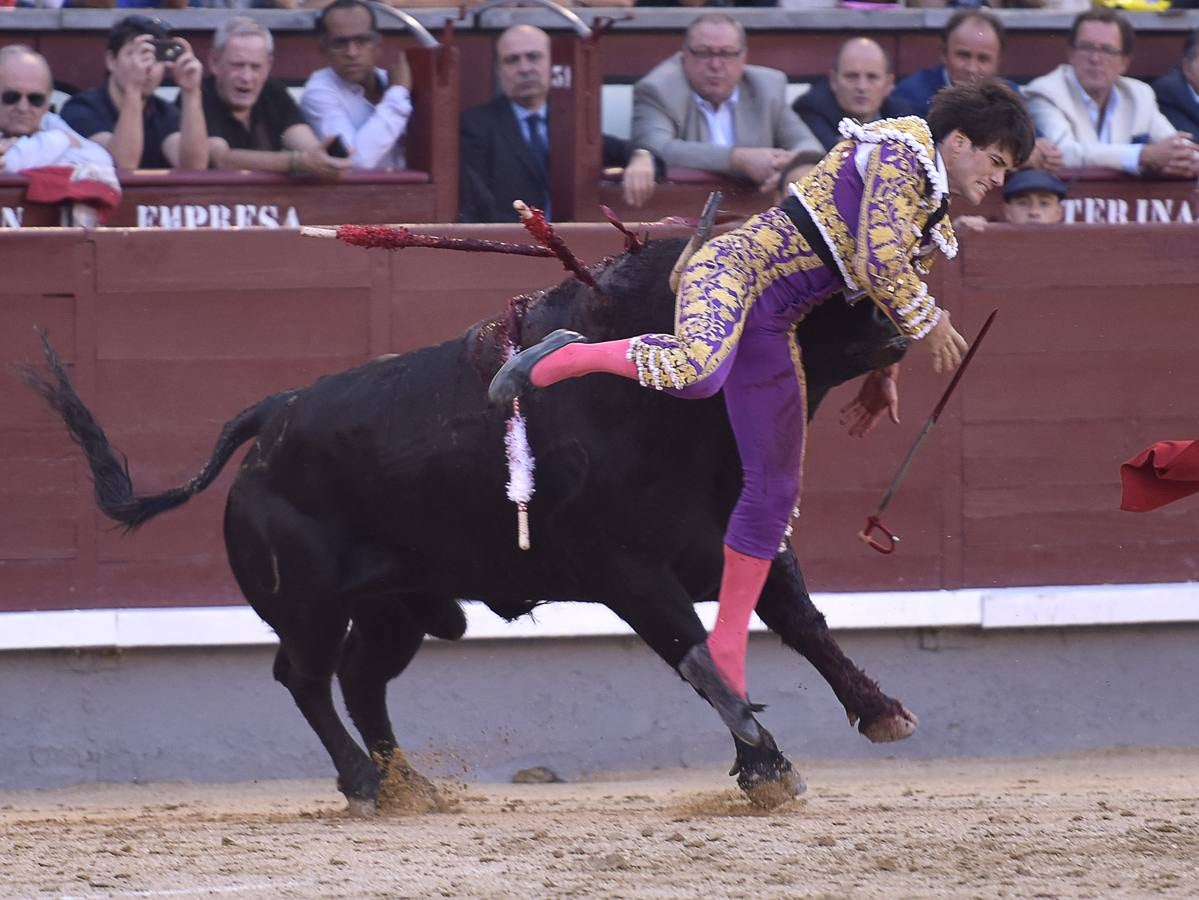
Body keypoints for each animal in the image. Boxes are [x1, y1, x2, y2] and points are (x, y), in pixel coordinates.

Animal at [21, 236, 916, 814]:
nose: (890, 315)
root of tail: (274, 414)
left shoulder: (739, 544)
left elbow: (803, 624)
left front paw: (879, 712)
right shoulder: (628, 573)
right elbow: (696, 654)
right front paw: (767, 767)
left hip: (398, 607)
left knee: (361, 678)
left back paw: (406, 784)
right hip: (310, 604)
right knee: (306, 677)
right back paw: (365, 785)